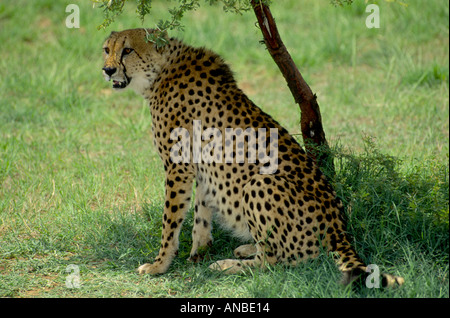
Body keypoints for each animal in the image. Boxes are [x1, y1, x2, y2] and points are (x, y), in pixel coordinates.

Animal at [102, 28, 404, 286]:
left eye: (127, 50)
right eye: (107, 49)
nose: (107, 70)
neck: (161, 70)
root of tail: (338, 230)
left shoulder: (178, 167)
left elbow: (171, 220)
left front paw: (160, 264)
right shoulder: (202, 165)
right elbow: (201, 210)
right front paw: (199, 250)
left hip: (259, 182)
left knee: (273, 262)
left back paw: (227, 265)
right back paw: (246, 248)